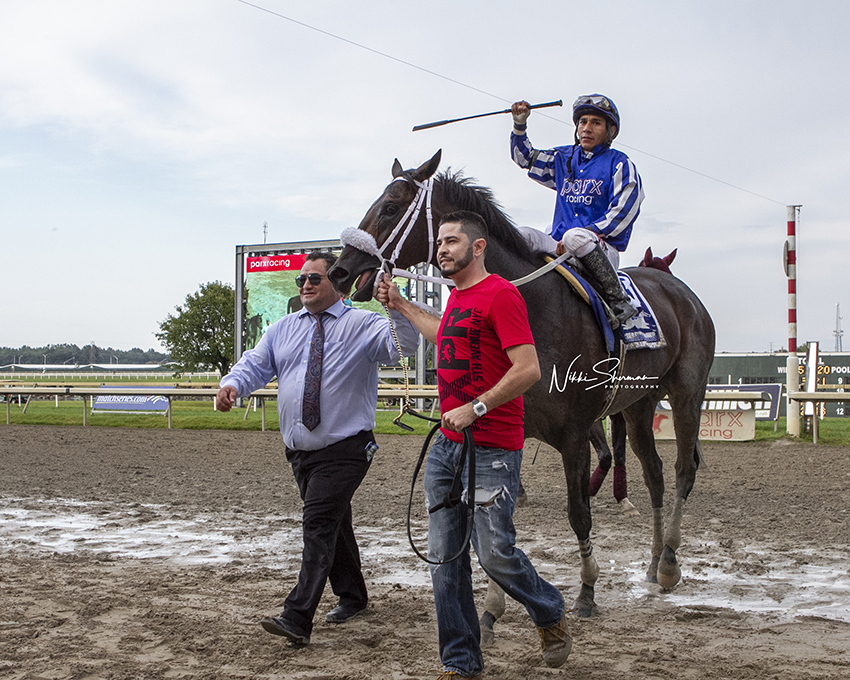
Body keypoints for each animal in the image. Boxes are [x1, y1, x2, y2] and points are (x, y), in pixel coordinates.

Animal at [328, 151, 712, 628]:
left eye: (390, 206)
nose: (339, 269)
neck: (535, 309)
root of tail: (685, 294)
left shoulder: (574, 435)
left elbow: (579, 514)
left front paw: (586, 591)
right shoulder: (505, 428)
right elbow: (496, 519)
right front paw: (492, 609)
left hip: (686, 395)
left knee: (682, 471)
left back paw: (670, 563)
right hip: (638, 405)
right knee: (655, 474)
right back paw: (654, 560)